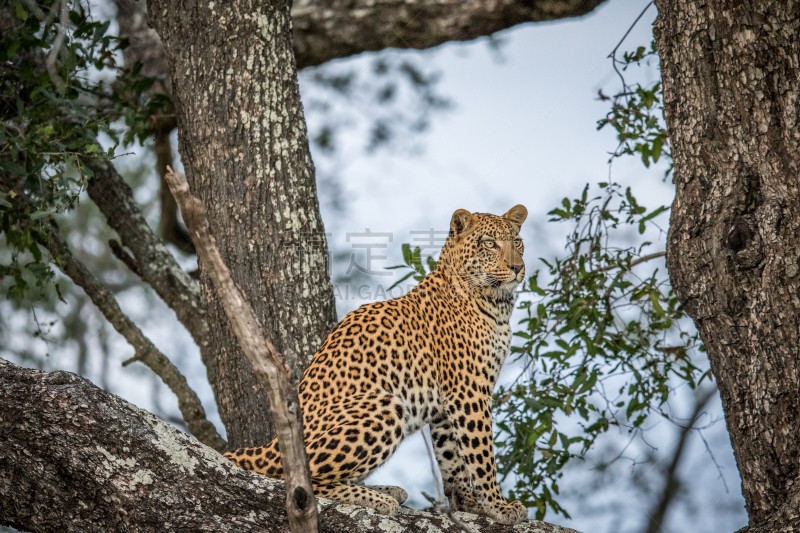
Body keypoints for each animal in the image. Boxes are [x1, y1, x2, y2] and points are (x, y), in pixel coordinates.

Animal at [222, 204, 528, 524]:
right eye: (489, 244)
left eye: (517, 241)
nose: (518, 268)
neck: (496, 304)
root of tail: (267, 446)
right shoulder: (469, 392)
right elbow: (481, 454)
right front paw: (499, 506)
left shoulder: (448, 403)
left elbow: (452, 457)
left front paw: (468, 504)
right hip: (386, 406)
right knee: (301, 483)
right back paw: (378, 498)